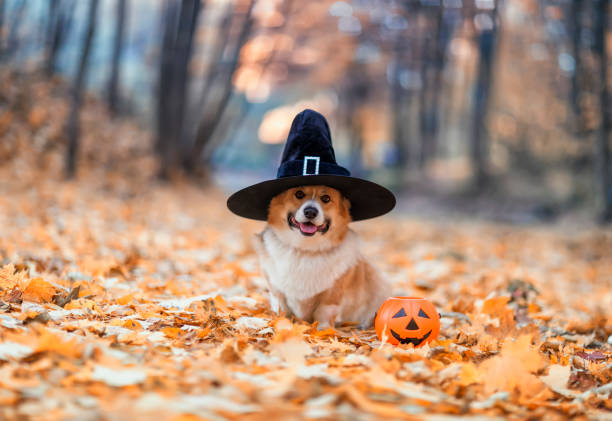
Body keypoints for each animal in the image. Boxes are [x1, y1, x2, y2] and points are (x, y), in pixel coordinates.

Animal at [252, 185, 388, 328]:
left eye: (326, 198)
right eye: (299, 194)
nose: (310, 212)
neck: (305, 249)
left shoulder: (331, 295)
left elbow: (324, 313)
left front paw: (324, 329)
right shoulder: (276, 290)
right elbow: (282, 309)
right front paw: (282, 323)